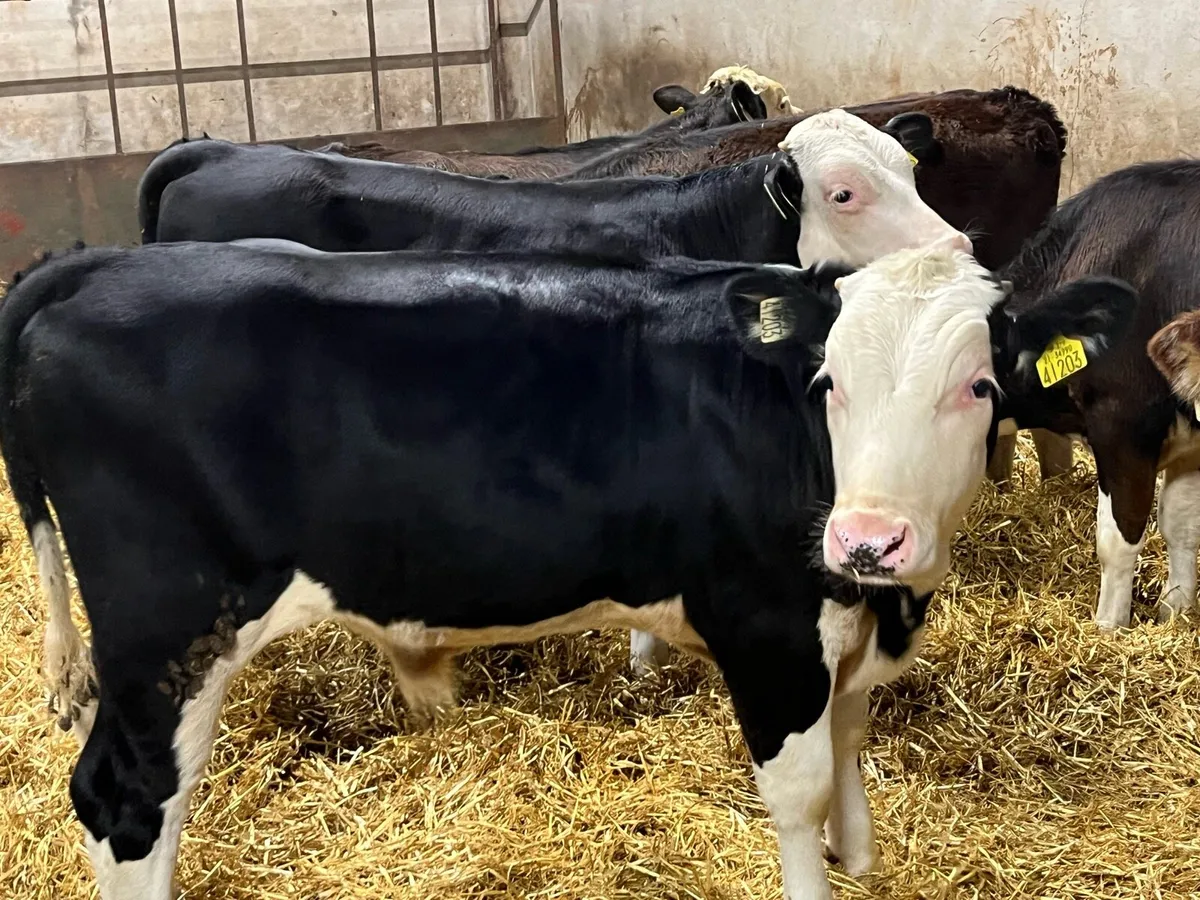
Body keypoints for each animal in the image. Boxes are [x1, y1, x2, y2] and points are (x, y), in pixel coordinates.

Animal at [5, 238, 968, 900]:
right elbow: (802, 791)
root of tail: (94, 266)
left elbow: (850, 742)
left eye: (977, 382)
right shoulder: (771, 633)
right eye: (831, 380)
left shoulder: (843, 630)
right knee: (123, 796)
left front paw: (861, 855)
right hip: (168, 628)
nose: (875, 538)